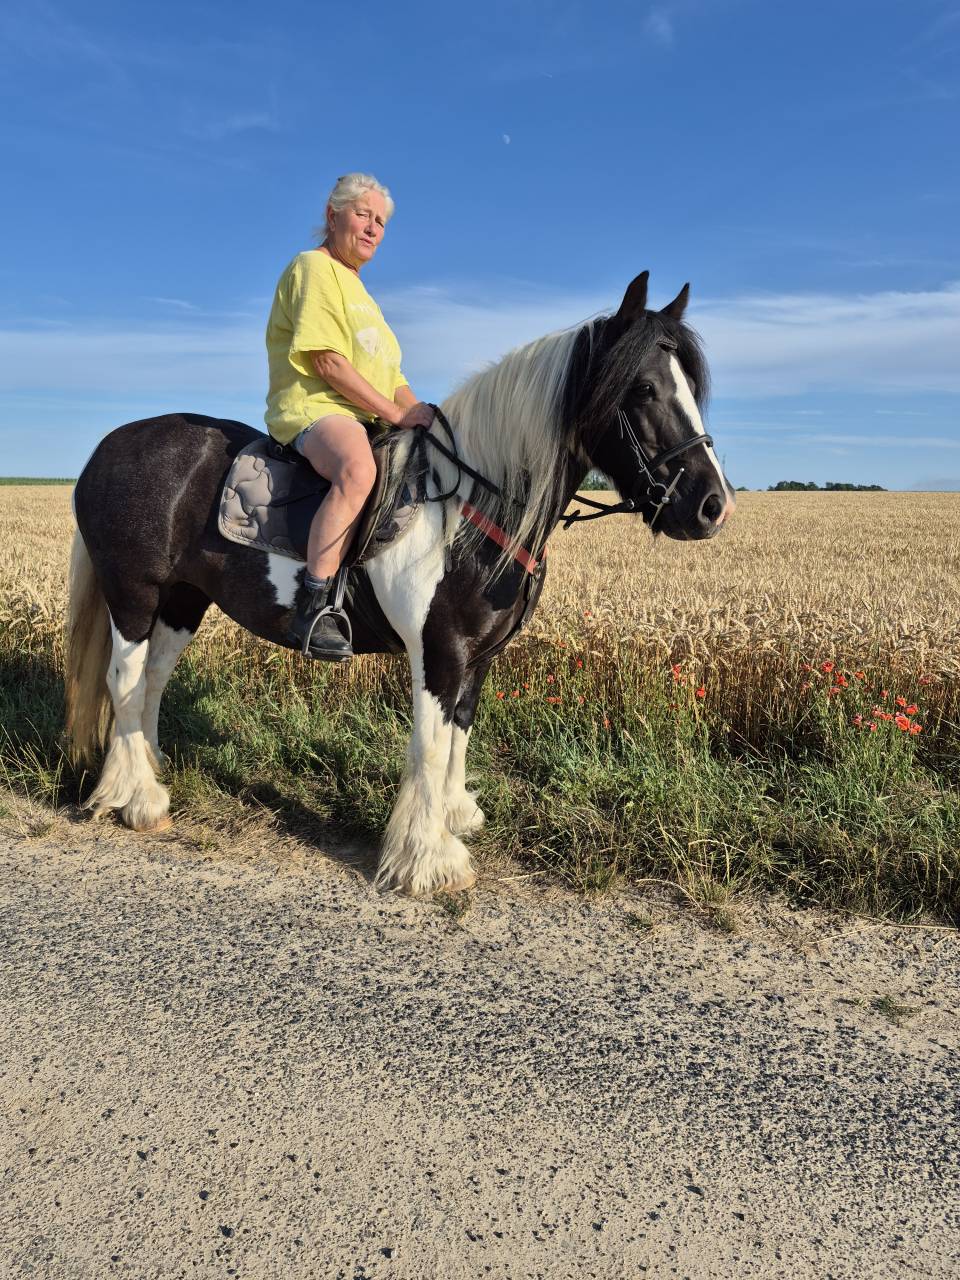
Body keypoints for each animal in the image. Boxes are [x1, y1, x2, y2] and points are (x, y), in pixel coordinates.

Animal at [64, 271, 734, 896]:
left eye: (689, 387)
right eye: (642, 388)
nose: (713, 506)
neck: (470, 506)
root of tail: (107, 447)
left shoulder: (478, 656)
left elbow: (460, 731)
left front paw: (455, 816)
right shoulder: (439, 651)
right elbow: (430, 745)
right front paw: (428, 859)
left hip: (184, 599)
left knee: (152, 679)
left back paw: (148, 770)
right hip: (134, 594)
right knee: (124, 680)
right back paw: (137, 799)